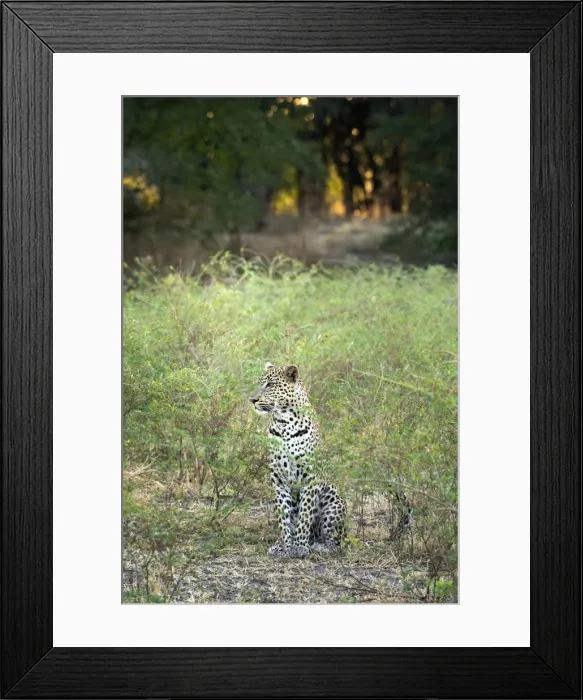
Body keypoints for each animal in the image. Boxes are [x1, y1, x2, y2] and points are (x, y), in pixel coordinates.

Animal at [250, 362, 347, 559]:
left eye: (270, 385)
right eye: (258, 383)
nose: (252, 400)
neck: (284, 423)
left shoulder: (310, 478)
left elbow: (304, 514)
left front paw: (300, 547)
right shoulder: (278, 479)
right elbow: (285, 518)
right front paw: (287, 547)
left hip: (332, 499)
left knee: (334, 540)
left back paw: (319, 546)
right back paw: (279, 544)